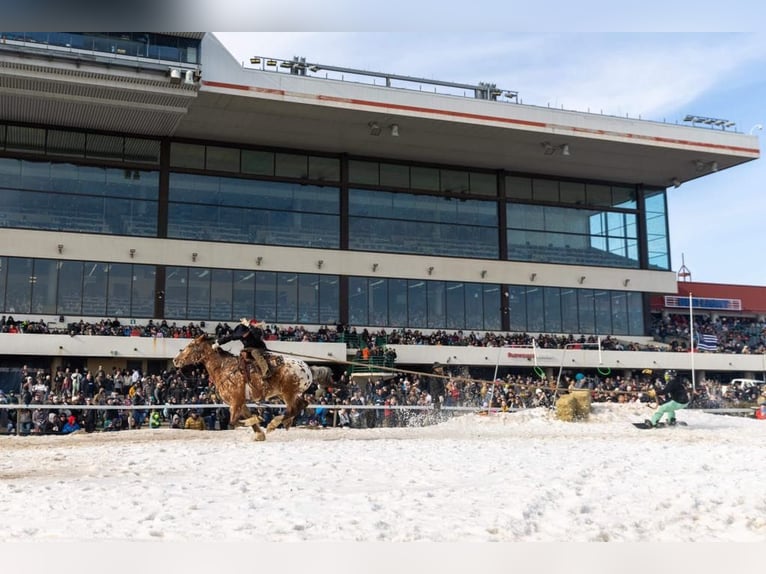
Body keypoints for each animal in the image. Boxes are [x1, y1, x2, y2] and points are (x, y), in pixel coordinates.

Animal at [175, 336, 316, 444]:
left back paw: (274, 424)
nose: (175, 360)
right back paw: (285, 422)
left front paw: (257, 419)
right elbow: (244, 418)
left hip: (288, 393)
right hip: (286, 394)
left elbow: (234, 422)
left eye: (191, 345)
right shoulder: (240, 403)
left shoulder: (236, 402)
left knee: (292, 409)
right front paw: (259, 434)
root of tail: (306, 368)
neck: (224, 368)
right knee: (301, 405)